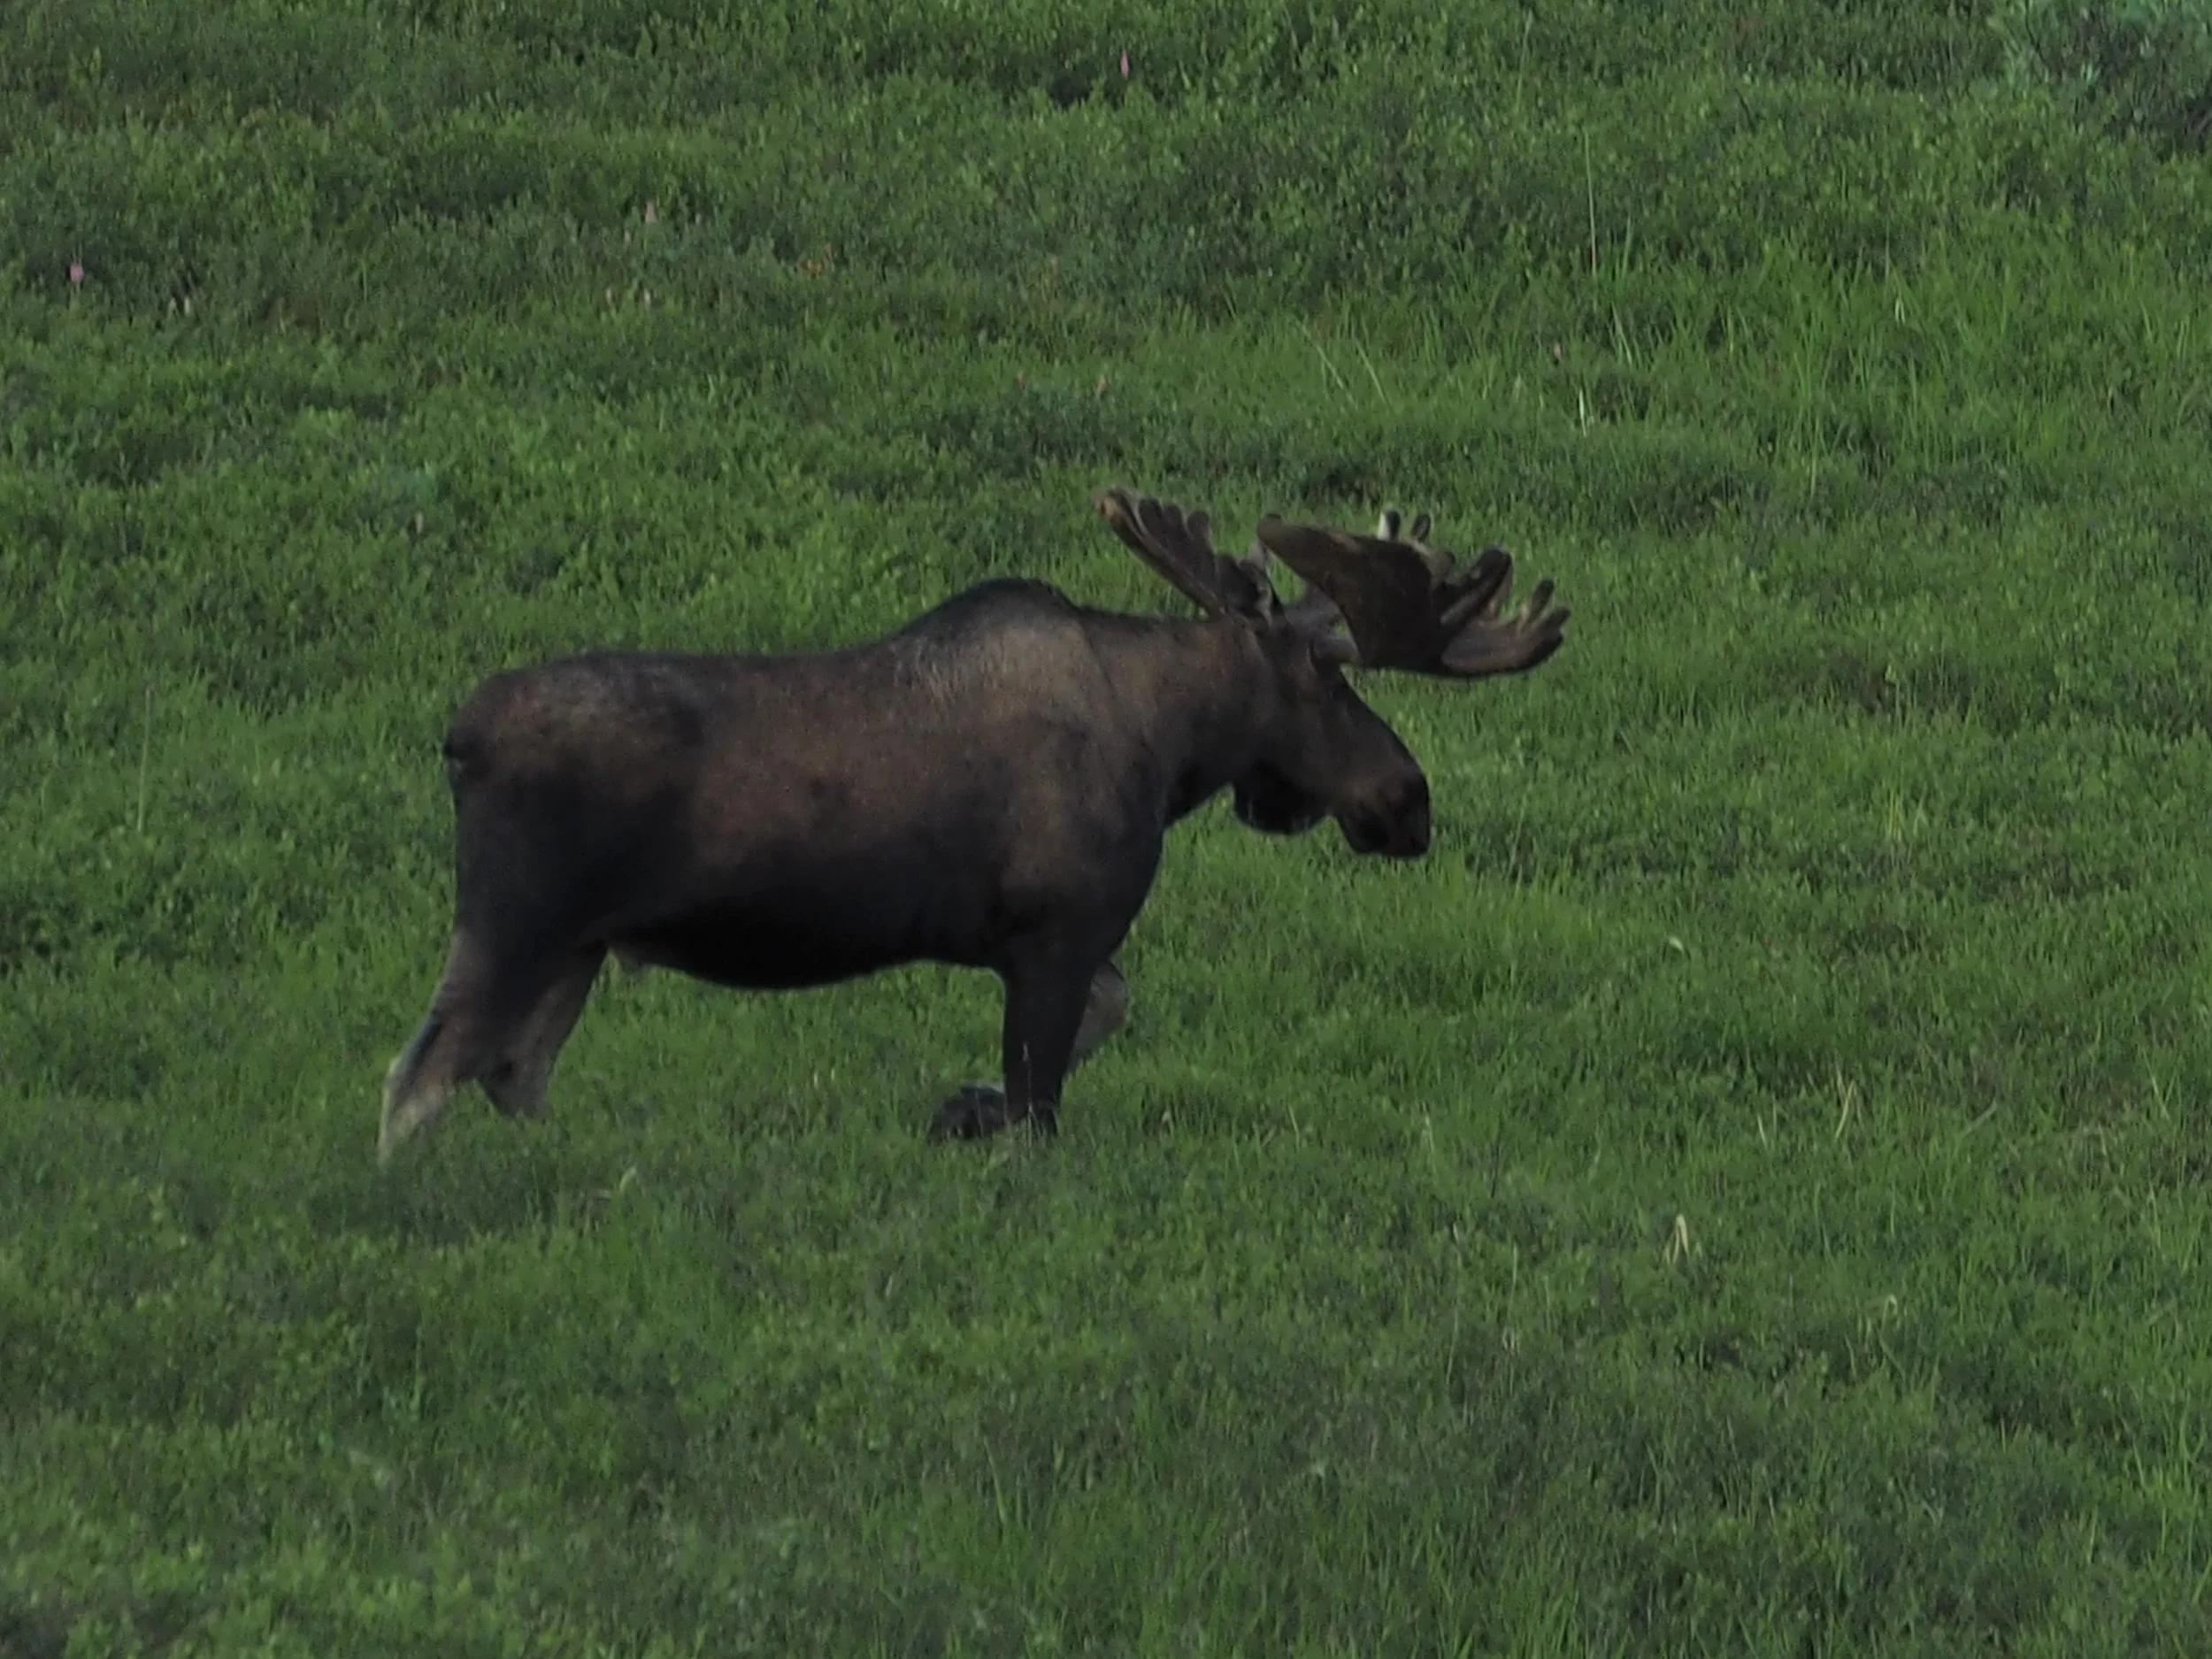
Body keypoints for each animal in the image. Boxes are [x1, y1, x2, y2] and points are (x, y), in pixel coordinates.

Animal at [377, 488, 1568, 1162]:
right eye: (1328, 681)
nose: (1406, 802)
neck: (1170, 747)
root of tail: (458, 740)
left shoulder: (1048, 943)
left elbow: (1098, 1024)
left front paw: (961, 1105)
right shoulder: (1057, 930)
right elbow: (1044, 1108)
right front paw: (986, 1121)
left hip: (577, 946)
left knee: (510, 1073)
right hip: (516, 922)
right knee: (419, 1078)